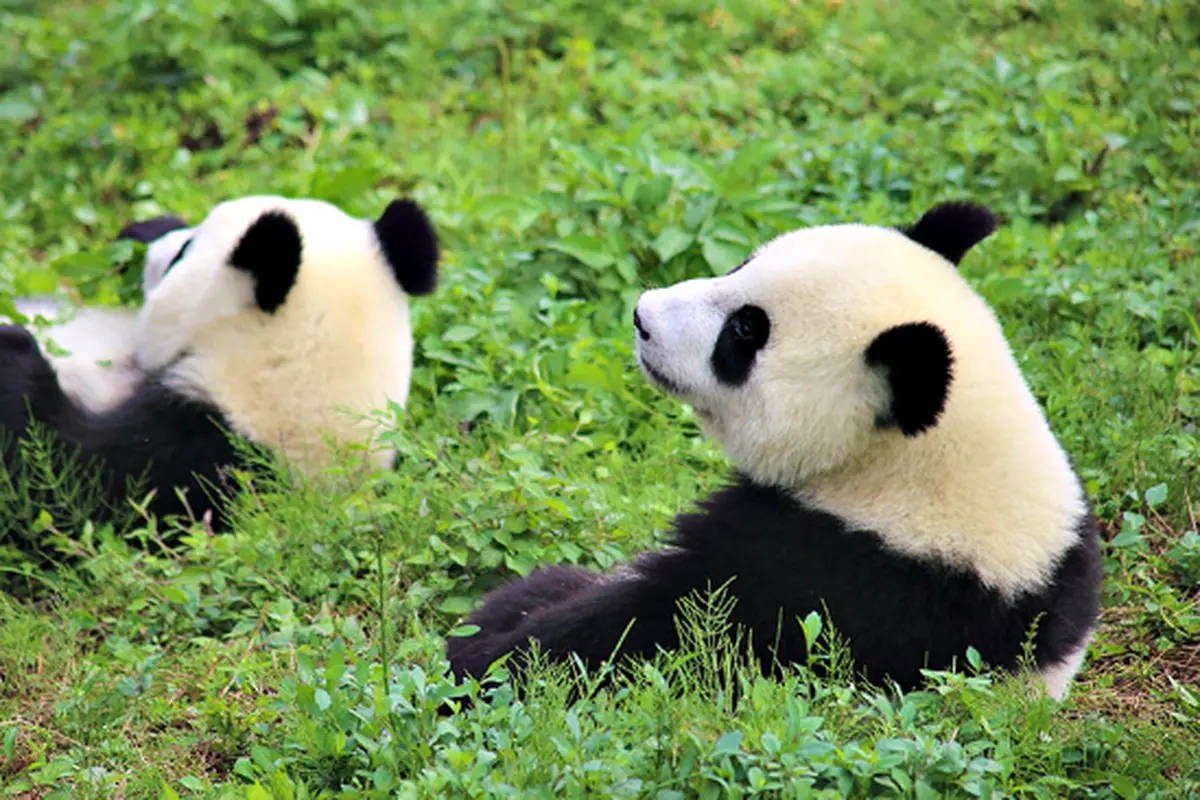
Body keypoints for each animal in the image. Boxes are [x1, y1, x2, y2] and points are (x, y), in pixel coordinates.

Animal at [446, 201, 1103, 702]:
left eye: (745, 331)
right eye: (741, 264)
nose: (642, 317)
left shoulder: (843, 576)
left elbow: (665, 630)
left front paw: (479, 659)